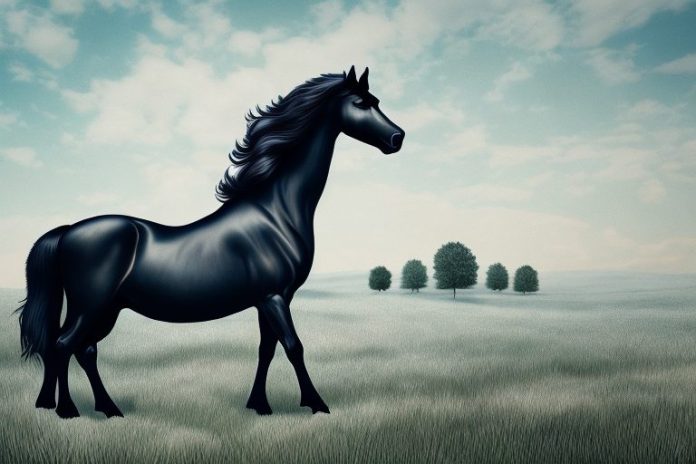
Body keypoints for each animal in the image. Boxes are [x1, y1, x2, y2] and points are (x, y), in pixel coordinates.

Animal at [16, 66, 404, 419]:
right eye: (360, 103)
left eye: (376, 101)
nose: (397, 138)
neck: (276, 212)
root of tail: (68, 230)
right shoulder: (275, 297)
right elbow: (294, 347)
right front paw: (316, 403)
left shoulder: (269, 299)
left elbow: (267, 350)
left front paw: (259, 405)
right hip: (91, 306)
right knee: (63, 345)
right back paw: (67, 409)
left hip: (106, 309)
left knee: (82, 351)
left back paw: (96, 407)